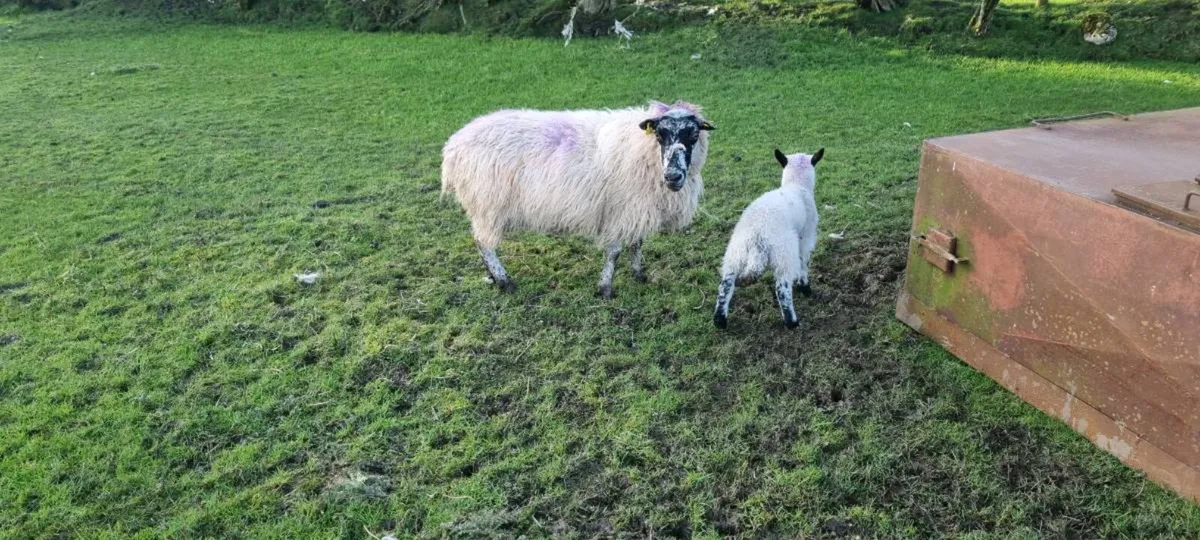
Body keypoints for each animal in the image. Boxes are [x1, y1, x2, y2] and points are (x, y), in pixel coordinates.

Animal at [441, 100, 715, 298]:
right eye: (659, 135)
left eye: (693, 135)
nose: (673, 176)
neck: (643, 150)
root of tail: (453, 146)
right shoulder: (622, 209)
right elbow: (615, 251)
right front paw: (605, 289)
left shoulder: (638, 208)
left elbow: (637, 243)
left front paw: (639, 275)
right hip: (487, 204)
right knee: (484, 244)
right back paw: (504, 281)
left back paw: (493, 277)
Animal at [712, 147, 824, 329]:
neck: (797, 185)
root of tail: (757, 234)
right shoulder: (806, 237)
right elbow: (803, 264)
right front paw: (805, 287)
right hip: (784, 251)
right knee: (782, 288)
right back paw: (792, 321)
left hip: (736, 252)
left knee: (726, 284)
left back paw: (720, 320)